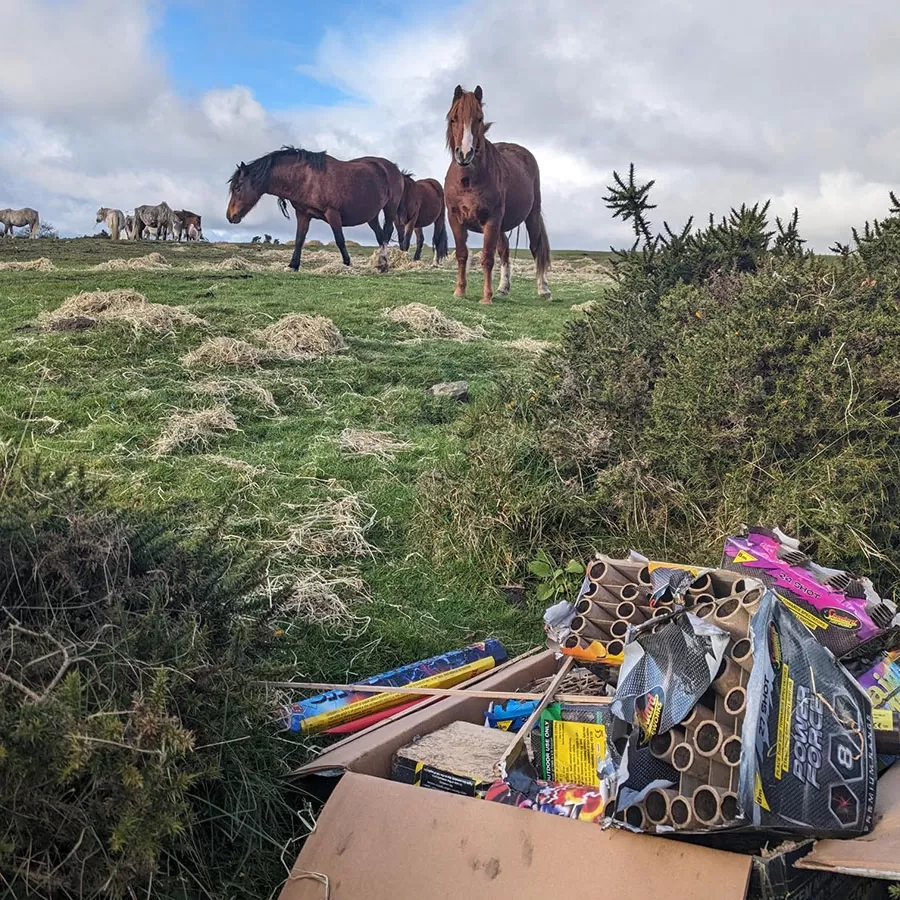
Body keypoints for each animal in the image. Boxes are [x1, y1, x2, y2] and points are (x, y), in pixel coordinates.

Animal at [227, 142, 406, 270]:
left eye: (238, 188)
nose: (230, 216)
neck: (306, 179)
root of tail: (394, 168)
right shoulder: (303, 214)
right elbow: (299, 239)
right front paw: (293, 265)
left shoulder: (332, 213)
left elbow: (340, 240)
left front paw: (347, 263)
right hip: (371, 216)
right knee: (380, 236)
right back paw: (380, 263)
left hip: (389, 208)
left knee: (387, 232)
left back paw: (383, 264)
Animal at [442, 85, 548, 302]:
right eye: (453, 118)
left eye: (479, 118)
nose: (464, 154)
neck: (468, 180)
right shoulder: (455, 219)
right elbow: (462, 254)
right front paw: (460, 291)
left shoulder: (492, 220)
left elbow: (487, 258)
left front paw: (486, 297)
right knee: (504, 249)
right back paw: (503, 287)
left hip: (531, 215)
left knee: (536, 247)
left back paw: (543, 289)